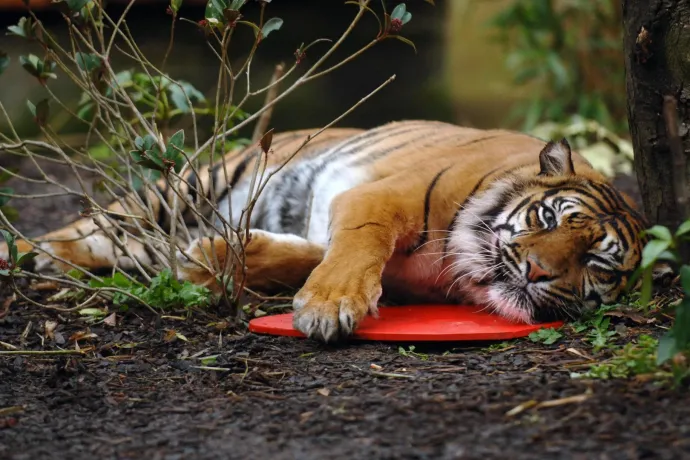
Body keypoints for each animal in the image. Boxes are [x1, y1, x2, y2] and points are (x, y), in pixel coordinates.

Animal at [0, 120, 668, 344]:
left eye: (596, 265)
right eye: (548, 218)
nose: (534, 271)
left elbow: (299, 256)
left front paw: (212, 257)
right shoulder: (379, 196)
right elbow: (359, 245)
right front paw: (328, 307)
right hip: (185, 187)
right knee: (95, 219)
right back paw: (33, 254)